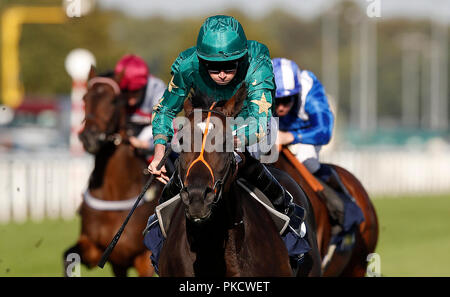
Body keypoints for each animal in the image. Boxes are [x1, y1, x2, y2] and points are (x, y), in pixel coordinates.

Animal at [62, 67, 162, 276]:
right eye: (85, 97)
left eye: (114, 100)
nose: (90, 137)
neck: (114, 192)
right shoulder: (99, 251)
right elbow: (68, 258)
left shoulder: (144, 258)